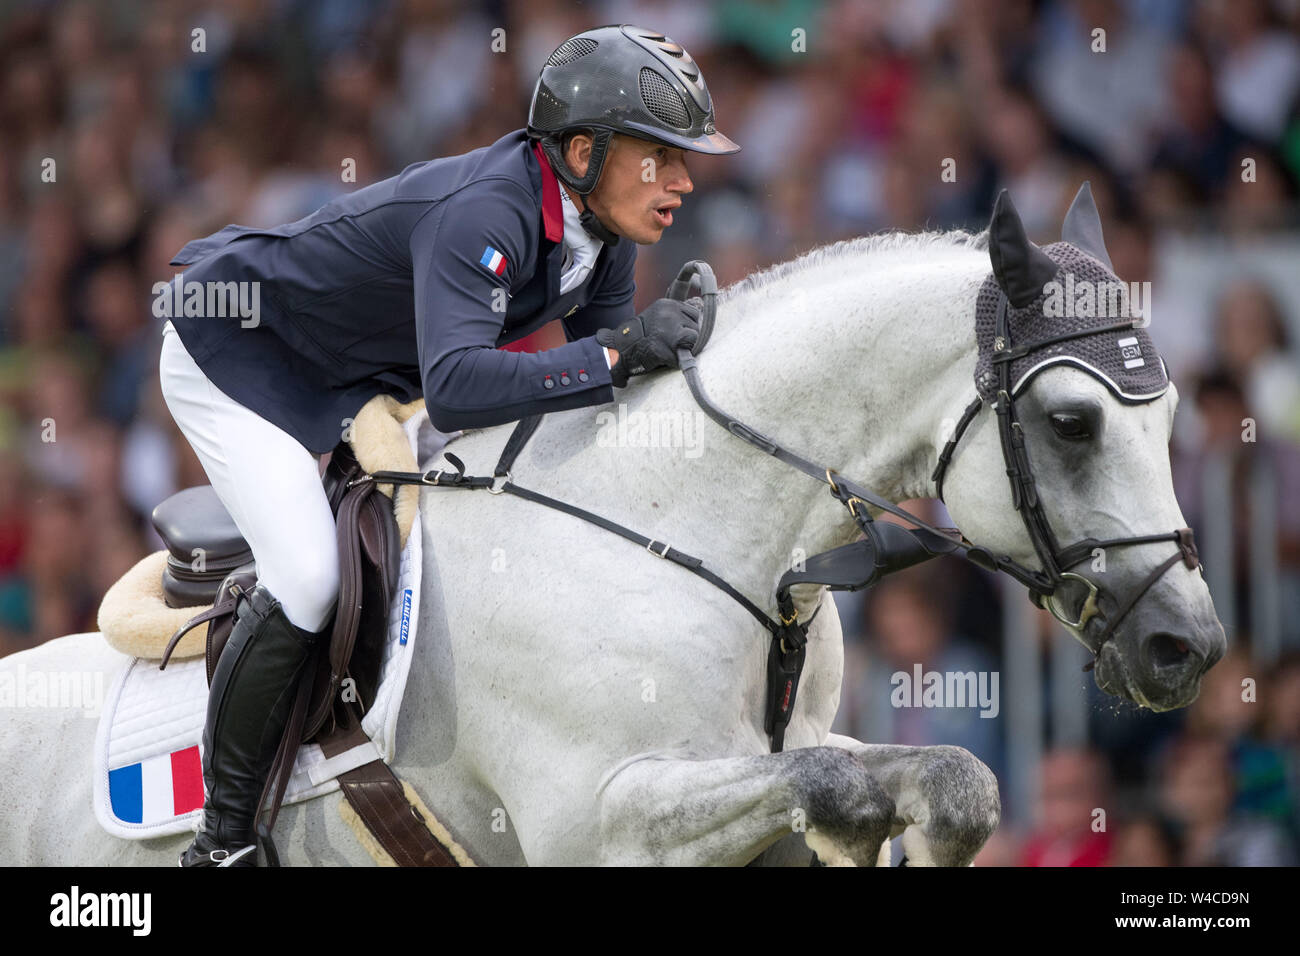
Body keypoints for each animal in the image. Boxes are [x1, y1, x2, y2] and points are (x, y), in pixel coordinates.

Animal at [0, 191, 1216, 863]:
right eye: (1070, 422)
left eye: (1172, 422)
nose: (1188, 648)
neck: (690, 524)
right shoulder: (603, 816)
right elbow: (831, 786)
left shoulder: (796, 747)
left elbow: (940, 776)